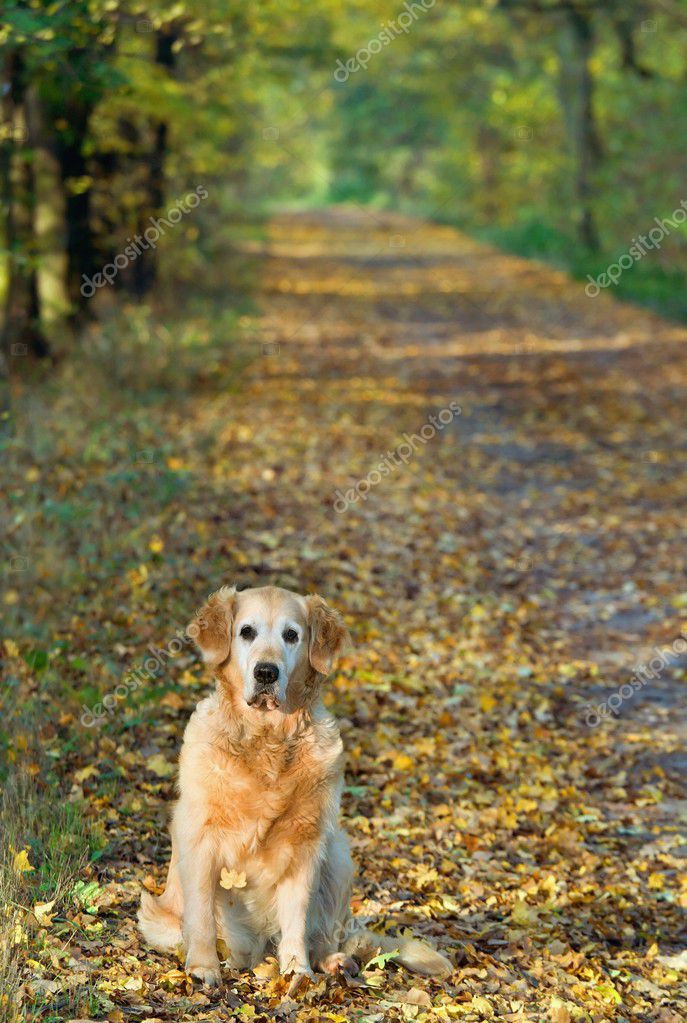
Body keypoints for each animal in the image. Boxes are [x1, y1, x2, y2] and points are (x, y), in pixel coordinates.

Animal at [138, 589, 449, 986]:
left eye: (291, 635)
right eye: (247, 631)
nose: (266, 672)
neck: (268, 739)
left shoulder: (305, 841)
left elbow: (297, 918)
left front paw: (297, 970)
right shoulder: (198, 834)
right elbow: (202, 913)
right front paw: (203, 966)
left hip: (338, 852)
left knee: (327, 935)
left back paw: (332, 961)